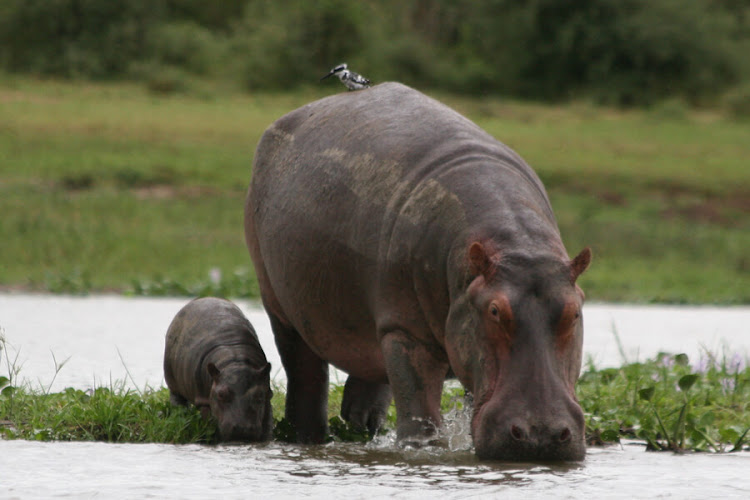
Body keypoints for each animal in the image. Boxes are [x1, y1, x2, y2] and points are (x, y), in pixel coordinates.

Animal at [163, 296, 274, 442]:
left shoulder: (266, 393)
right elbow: (210, 423)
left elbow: (268, 423)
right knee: (177, 398)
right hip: (172, 379)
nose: (242, 429)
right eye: (221, 394)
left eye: (259, 396)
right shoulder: (204, 399)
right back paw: (180, 414)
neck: (235, 363)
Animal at [247, 82, 592, 460]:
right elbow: (419, 415)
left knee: (367, 380)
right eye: (495, 310)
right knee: (306, 378)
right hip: (284, 310)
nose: (539, 436)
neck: (516, 245)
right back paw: (307, 438)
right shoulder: (406, 332)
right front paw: (422, 450)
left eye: (575, 312)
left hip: (371, 325)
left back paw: (360, 426)